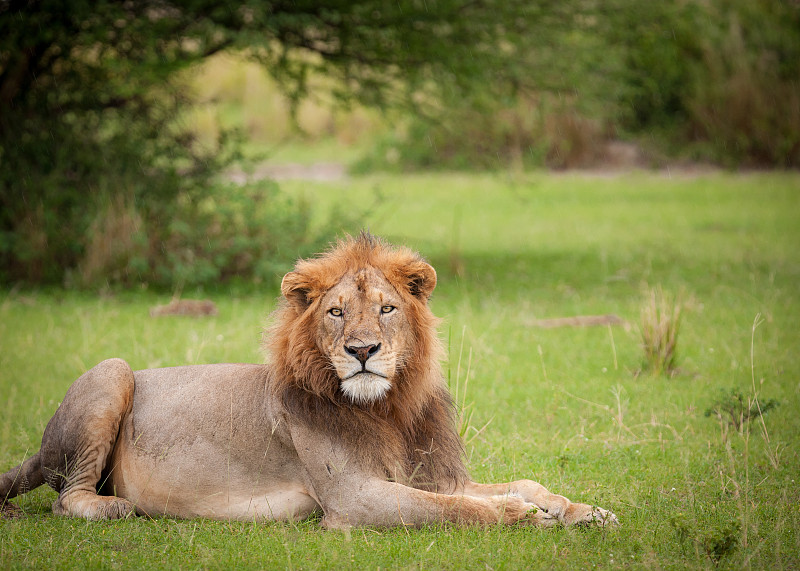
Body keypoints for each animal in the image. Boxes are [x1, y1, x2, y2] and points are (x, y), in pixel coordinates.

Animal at [0, 235, 620, 528]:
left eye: (387, 309)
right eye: (337, 312)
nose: (362, 351)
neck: (388, 408)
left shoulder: (434, 475)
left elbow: (525, 484)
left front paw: (583, 512)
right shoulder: (354, 498)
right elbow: (458, 511)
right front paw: (523, 516)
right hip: (112, 371)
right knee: (67, 499)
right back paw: (116, 508)